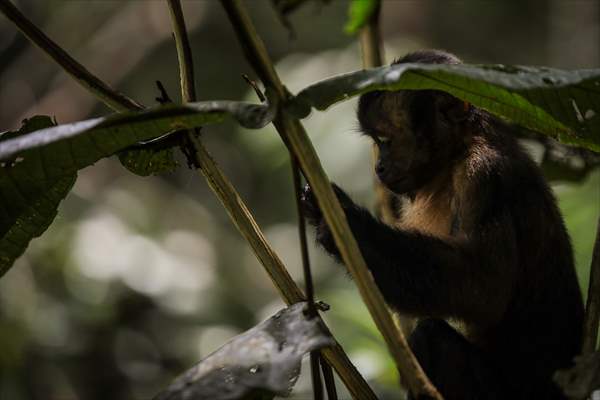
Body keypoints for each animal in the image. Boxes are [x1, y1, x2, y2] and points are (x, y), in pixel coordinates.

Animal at [302, 50, 584, 400]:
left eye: (386, 140)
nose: (379, 167)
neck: (456, 154)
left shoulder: (483, 176)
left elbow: (483, 289)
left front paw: (341, 218)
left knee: (431, 336)